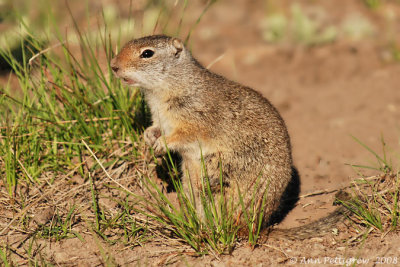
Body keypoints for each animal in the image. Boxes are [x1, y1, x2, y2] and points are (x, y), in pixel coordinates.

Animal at [110, 36, 304, 230]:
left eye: (147, 53)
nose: (113, 66)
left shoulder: (195, 122)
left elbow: (183, 135)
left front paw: (161, 144)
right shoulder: (161, 121)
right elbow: (155, 128)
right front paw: (148, 137)